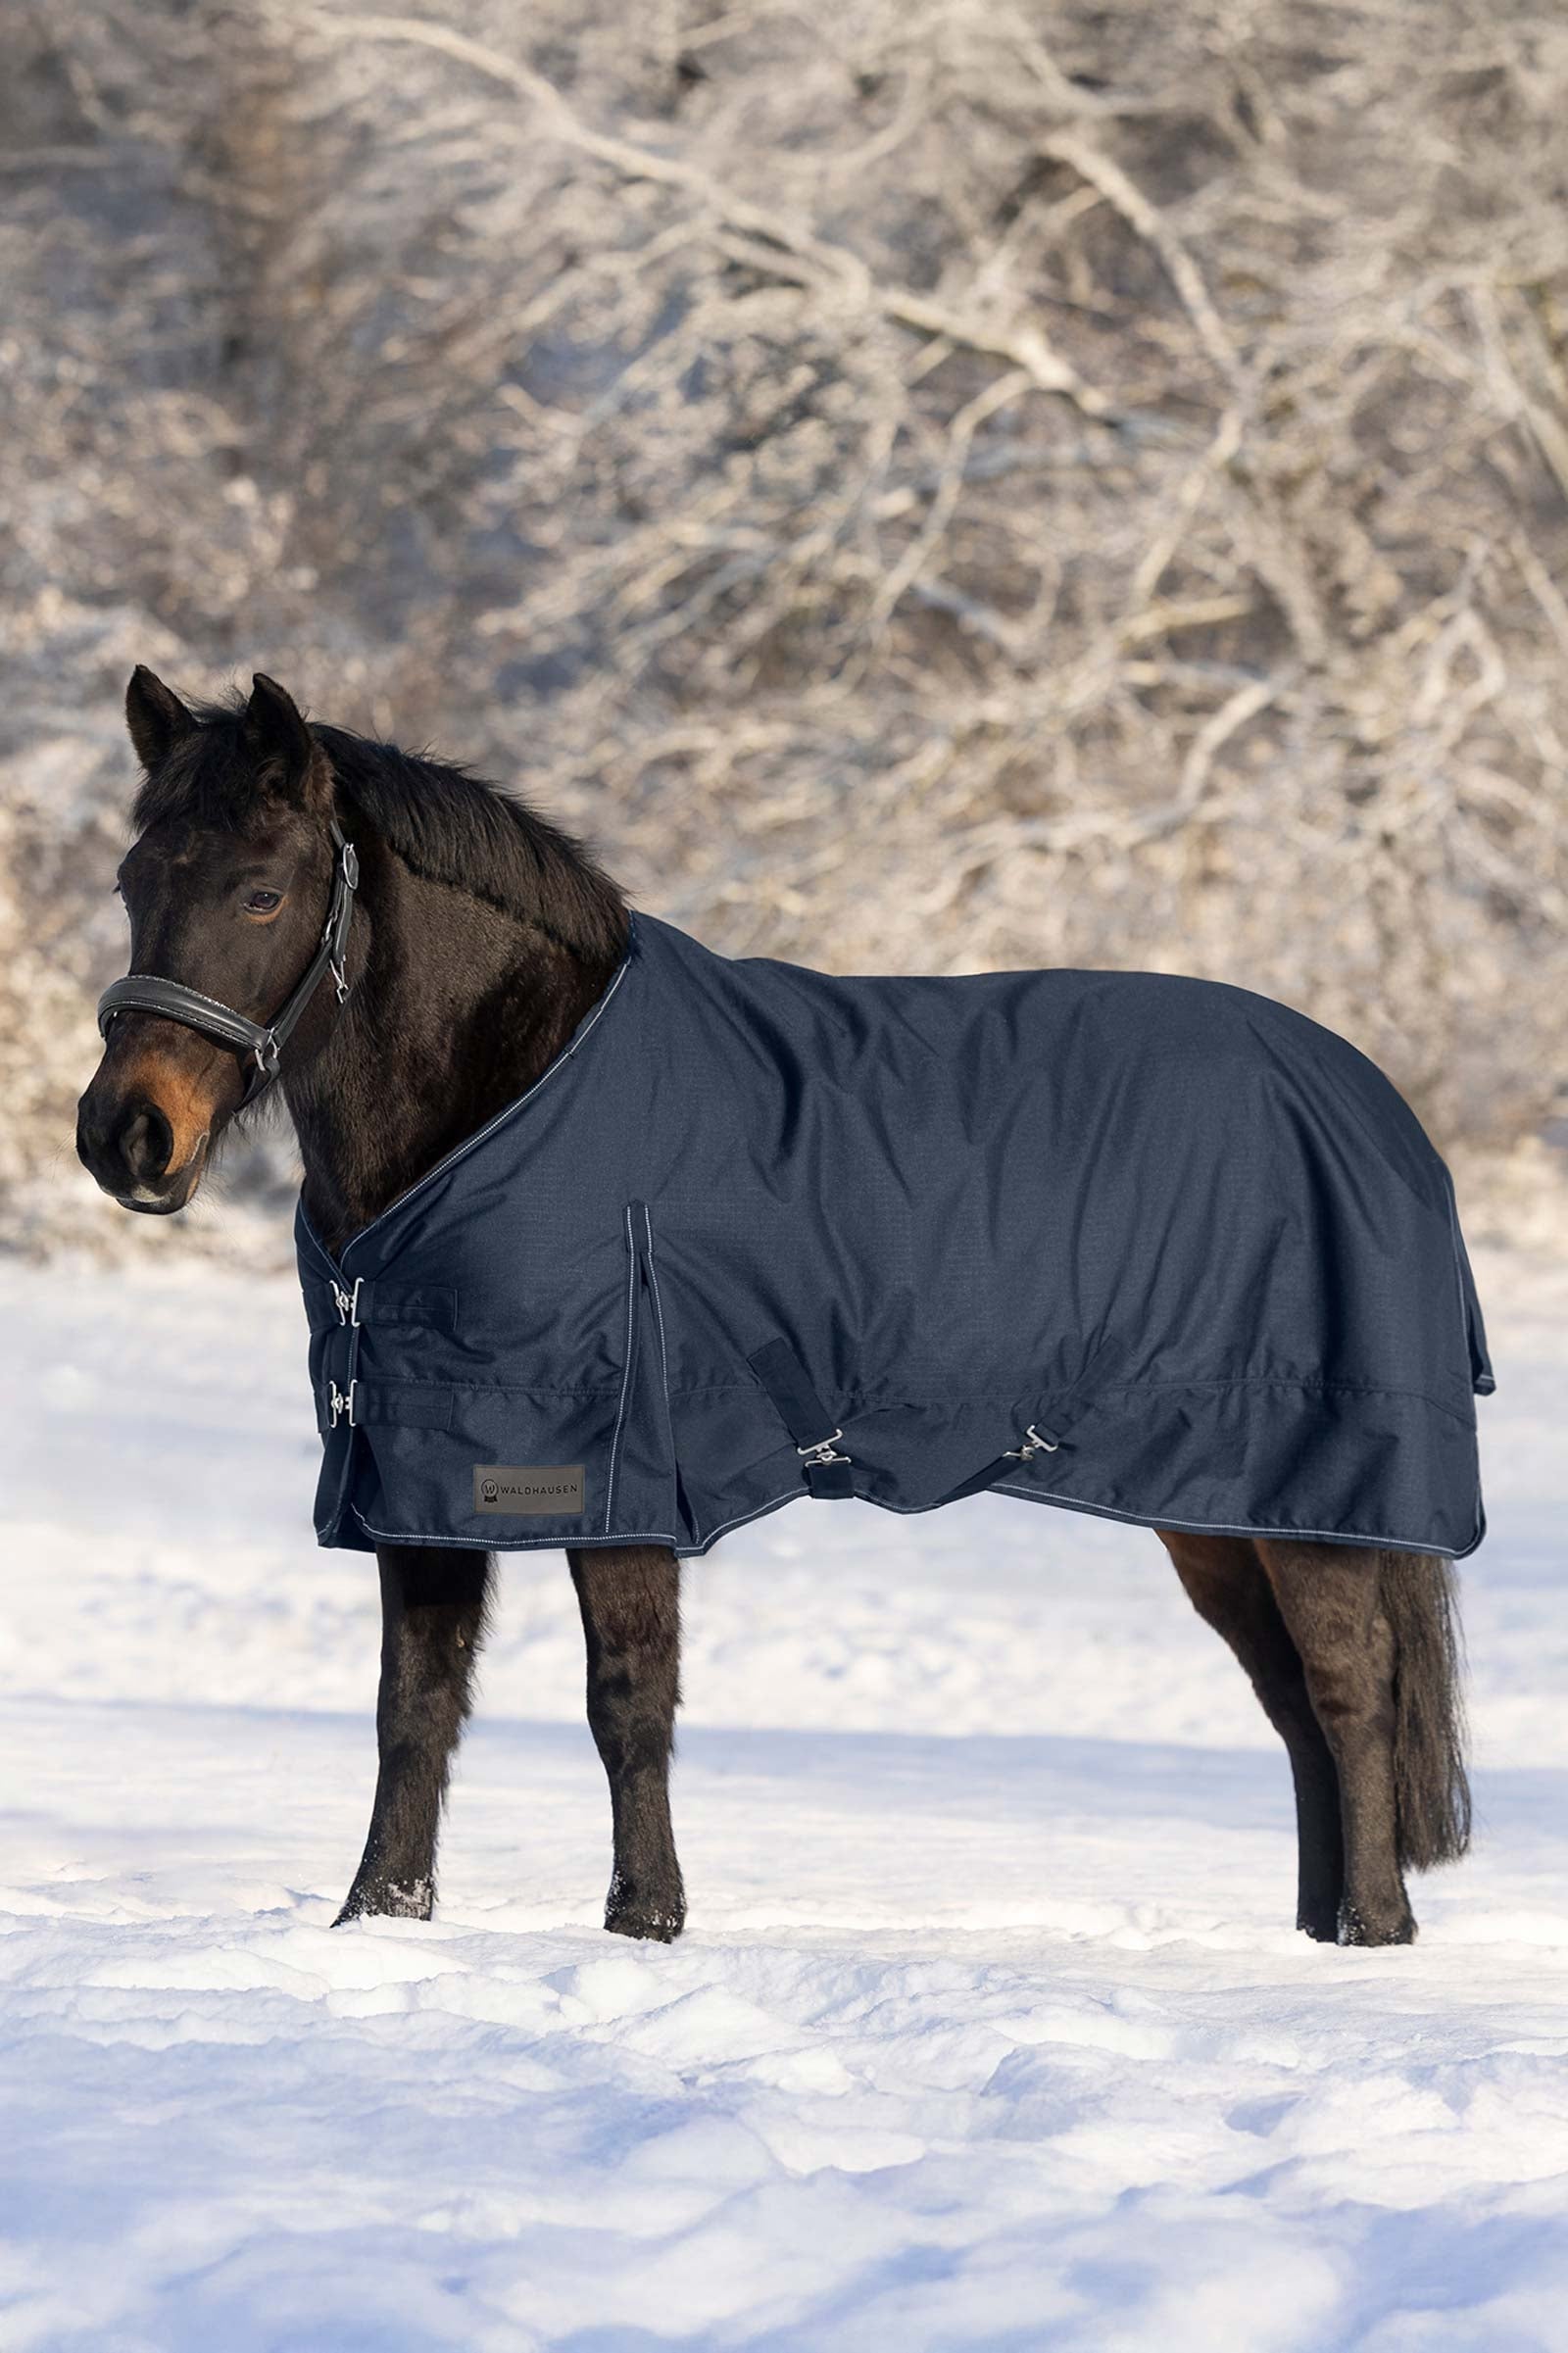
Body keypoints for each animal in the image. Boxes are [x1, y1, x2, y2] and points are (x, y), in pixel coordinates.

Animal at [76, 667, 1474, 1947]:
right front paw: (379, 1919)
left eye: (262, 890)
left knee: (1348, 1690)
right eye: (134, 882)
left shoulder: (611, 1471)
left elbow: (627, 1698)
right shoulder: (419, 1470)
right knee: (1291, 1702)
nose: (125, 1136)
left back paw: (1367, 1934)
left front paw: (644, 1920)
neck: (511, 1100)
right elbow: (412, 1706)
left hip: (1302, 1492)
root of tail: (1371, 1103)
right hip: (1217, 1509)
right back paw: (1326, 1934)